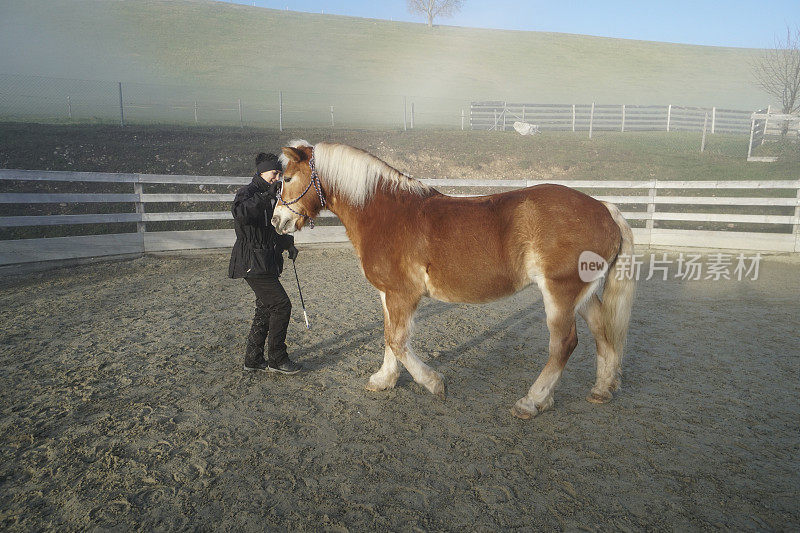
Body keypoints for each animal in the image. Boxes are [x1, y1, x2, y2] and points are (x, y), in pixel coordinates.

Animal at [276, 140, 636, 420]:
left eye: (289, 178)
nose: (277, 221)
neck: (385, 213)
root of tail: (604, 208)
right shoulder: (388, 294)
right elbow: (389, 337)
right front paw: (384, 379)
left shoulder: (404, 295)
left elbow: (398, 340)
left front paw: (433, 383)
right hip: (581, 295)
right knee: (602, 330)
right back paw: (602, 389)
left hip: (559, 292)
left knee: (564, 344)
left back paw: (532, 401)